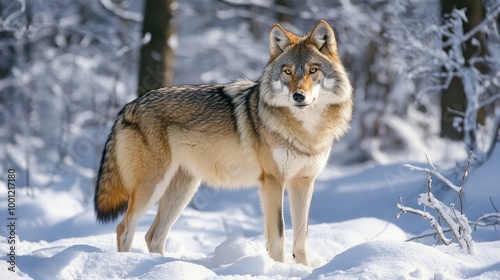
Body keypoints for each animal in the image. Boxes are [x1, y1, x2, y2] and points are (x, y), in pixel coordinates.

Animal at [94, 20, 352, 266]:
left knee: (153, 236)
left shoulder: (304, 182)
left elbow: (301, 238)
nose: (298, 96)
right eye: (287, 72)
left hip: (183, 190)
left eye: (313, 70)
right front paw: (278, 269)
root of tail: (128, 107)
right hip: (153, 187)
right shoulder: (272, 181)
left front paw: (303, 270)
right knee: (124, 229)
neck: (306, 130)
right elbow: (279, 235)